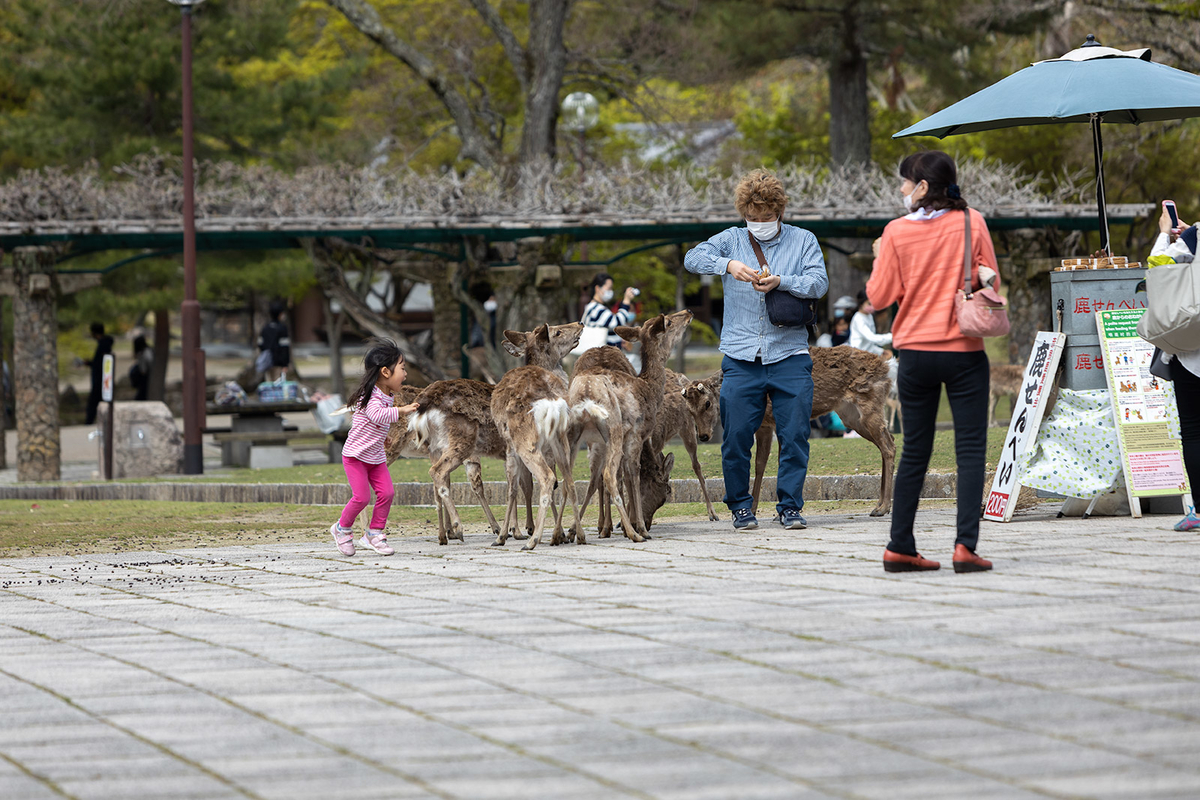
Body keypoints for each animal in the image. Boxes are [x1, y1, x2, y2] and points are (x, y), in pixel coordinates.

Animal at [487, 321, 580, 551]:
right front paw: (560, 533)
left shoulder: (509, 445)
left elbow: (512, 488)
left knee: (547, 478)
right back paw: (577, 535)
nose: (580, 323)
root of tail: (551, 400)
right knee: (568, 481)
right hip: (562, 440)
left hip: (525, 441)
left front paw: (502, 536)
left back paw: (533, 540)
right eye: (557, 331)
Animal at [568, 309, 696, 542]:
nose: (688, 311)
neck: (650, 390)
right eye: (669, 321)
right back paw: (632, 532)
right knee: (608, 475)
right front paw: (639, 527)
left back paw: (566, 533)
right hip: (613, 429)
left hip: (575, 434)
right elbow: (633, 474)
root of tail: (586, 393)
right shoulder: (637, 434)